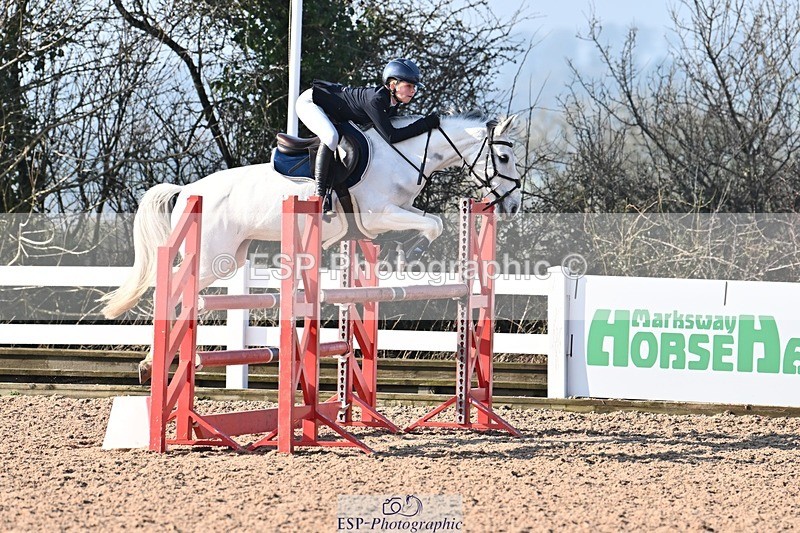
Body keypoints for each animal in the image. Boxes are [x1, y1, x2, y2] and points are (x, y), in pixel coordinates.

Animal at [99, 112, 522, 382]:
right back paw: (151, 363)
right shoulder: (378, 215)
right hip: (211, 257)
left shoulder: (394, 213)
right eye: (503, 156)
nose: (513, 205)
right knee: (170, 286)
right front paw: (410, 253)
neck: (404, 154)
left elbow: (431, 220)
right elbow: (432, 224)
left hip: (229, 258)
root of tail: (188, 189)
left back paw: (155, 361)